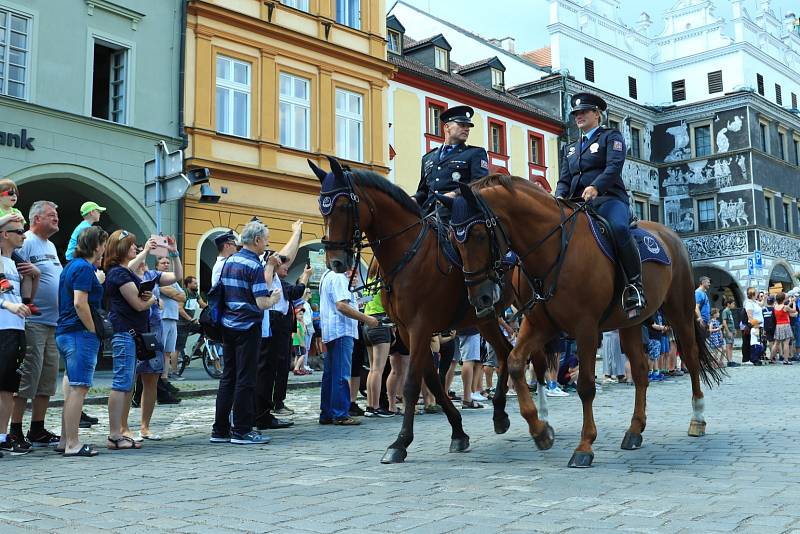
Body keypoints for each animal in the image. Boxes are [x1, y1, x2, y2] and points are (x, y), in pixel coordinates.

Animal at [306, 156, 556, 464]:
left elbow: (412, 384)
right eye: (322, 206)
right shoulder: (407, 332)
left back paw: (541, 417)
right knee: (505, 355)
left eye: (342, 206)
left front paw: (400, 443)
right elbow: (433, 381)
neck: (409, 254)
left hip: (530, 310)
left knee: (531, 360)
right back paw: (500, 413)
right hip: (484, 318)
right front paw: (458, 431)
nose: (336, 262)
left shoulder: (420, 327)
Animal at [446, 177, 720, 468]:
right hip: (630, 324)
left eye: (478, 235)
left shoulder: (585, 327)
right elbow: (516, 363)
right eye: (453, 241)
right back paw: (635, 430)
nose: (480, 297)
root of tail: (671, 236)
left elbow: (586, 386)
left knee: (690, 358)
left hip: (679, 310)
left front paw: (584, 445)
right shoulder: (540, 325)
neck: (553, 249)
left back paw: (697, 419)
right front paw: (540, 431)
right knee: (641, 371)